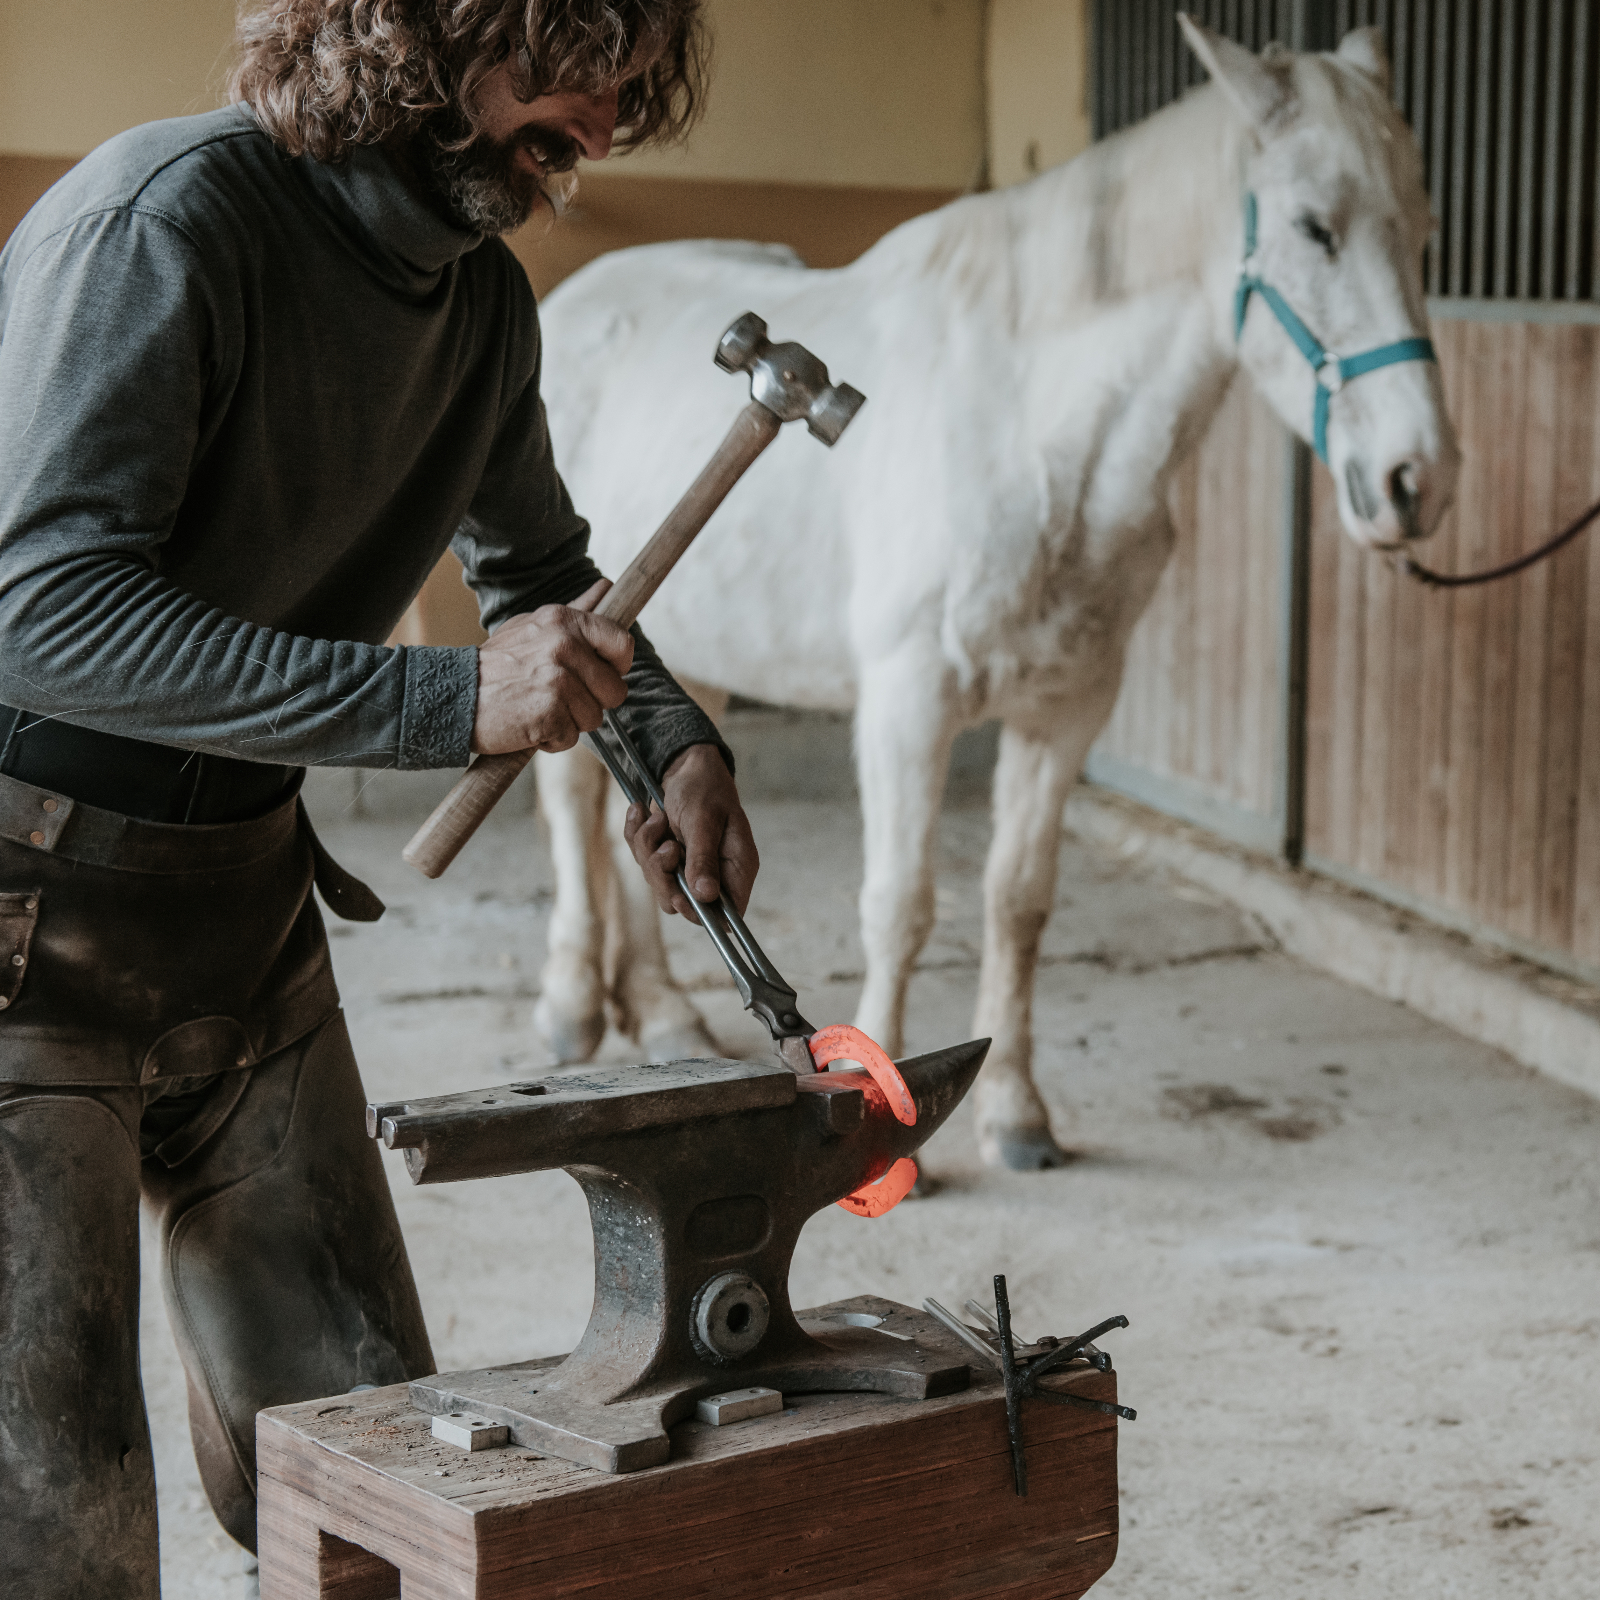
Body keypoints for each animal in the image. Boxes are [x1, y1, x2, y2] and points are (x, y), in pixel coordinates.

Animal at [531, 18, 1459, 1171]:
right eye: (1313, 228)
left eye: (1422, 229)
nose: (1418, 482)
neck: (1030, 428)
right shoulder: (908, 705)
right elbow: (901, 906)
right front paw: (896, 1138)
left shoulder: (1067, 708)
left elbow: (1018, 904)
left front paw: (1017, 1114)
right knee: (567, 808)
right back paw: (573, 1006)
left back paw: (660, 1012)